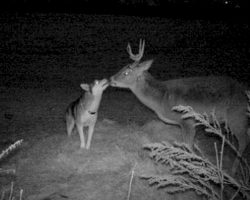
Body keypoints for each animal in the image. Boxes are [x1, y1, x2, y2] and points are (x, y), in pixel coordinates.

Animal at [110, 39, 249, 173]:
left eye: (126, 72)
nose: (111, 79)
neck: (162, 99)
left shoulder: (188, 120)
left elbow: (189, 147)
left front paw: (191, 168)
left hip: (237, 115)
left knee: (244, 141)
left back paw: (233, 170)